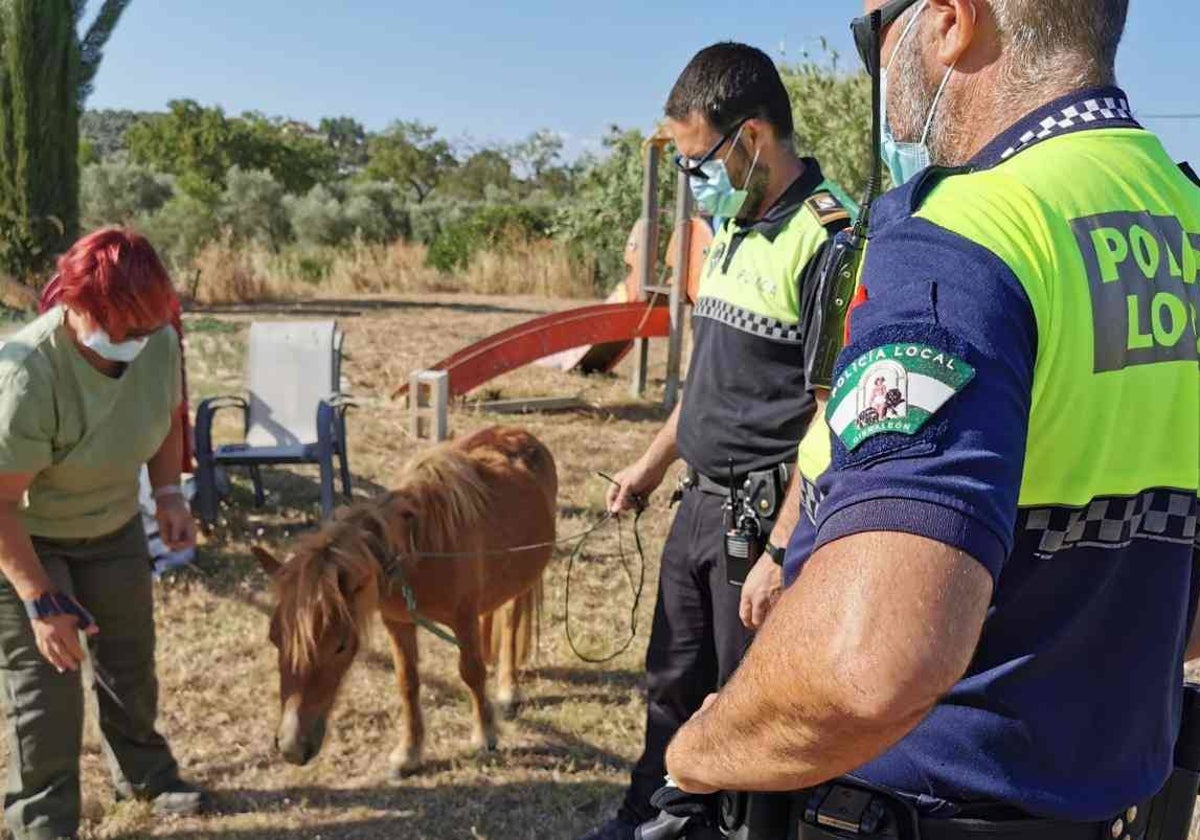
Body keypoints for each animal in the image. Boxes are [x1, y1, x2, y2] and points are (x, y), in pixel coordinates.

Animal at [253, 427, 556, 772]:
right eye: (274, 638)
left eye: (340, 646)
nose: (291, 748)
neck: (418, 549)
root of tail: (520, 435)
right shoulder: (398, 623)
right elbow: (407, 683)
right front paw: (409, 752)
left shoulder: (463, 619)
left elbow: (471, 672)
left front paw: (484, 736)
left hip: (523, 581)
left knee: (511, 624)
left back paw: (508, 689)